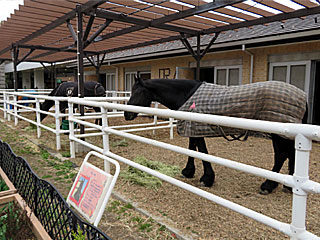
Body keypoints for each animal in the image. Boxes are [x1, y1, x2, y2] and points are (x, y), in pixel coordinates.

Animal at [123, 77, 308, 195]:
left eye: (137, 92)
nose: (126, 114)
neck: (187, 95)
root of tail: (303, 96)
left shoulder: (196, 128)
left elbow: (201, 151)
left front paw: (207, 179)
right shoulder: (193, 127)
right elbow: (193, 149)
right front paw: (189, 171)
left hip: (278, 135)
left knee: (281, 155)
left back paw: (268, 186)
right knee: (289, 155)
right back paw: (286, 186)